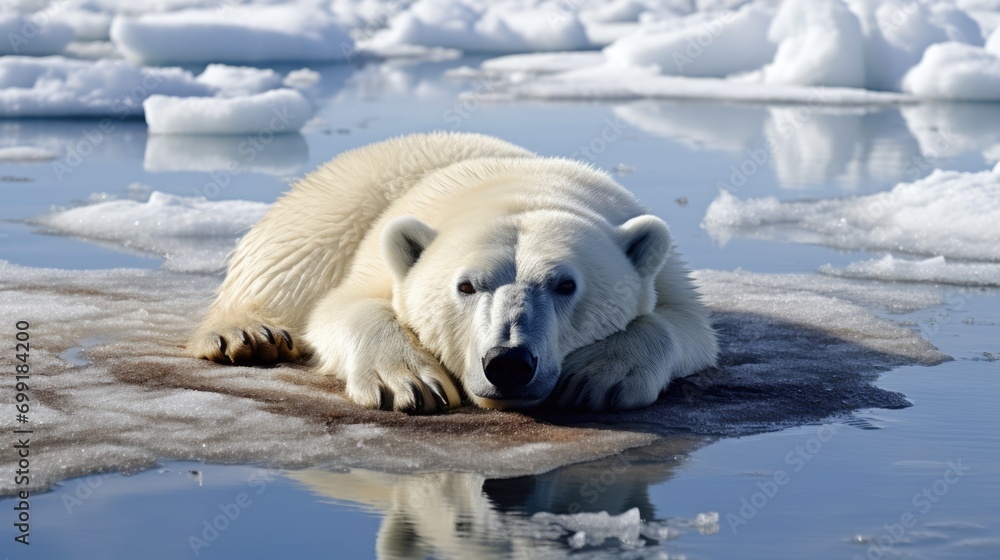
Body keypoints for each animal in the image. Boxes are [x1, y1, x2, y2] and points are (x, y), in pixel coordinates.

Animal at [189, 131, 720, 412]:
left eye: (566, 285)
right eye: (465, 286)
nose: (509, 362)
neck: (521, 188)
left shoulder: (663, 271)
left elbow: (686, 325)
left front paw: (596, 378)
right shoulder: (380, 259)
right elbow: (344, 307)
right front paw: (409, 383)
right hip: (340, 199)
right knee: (291, 262)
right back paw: (248, 334)